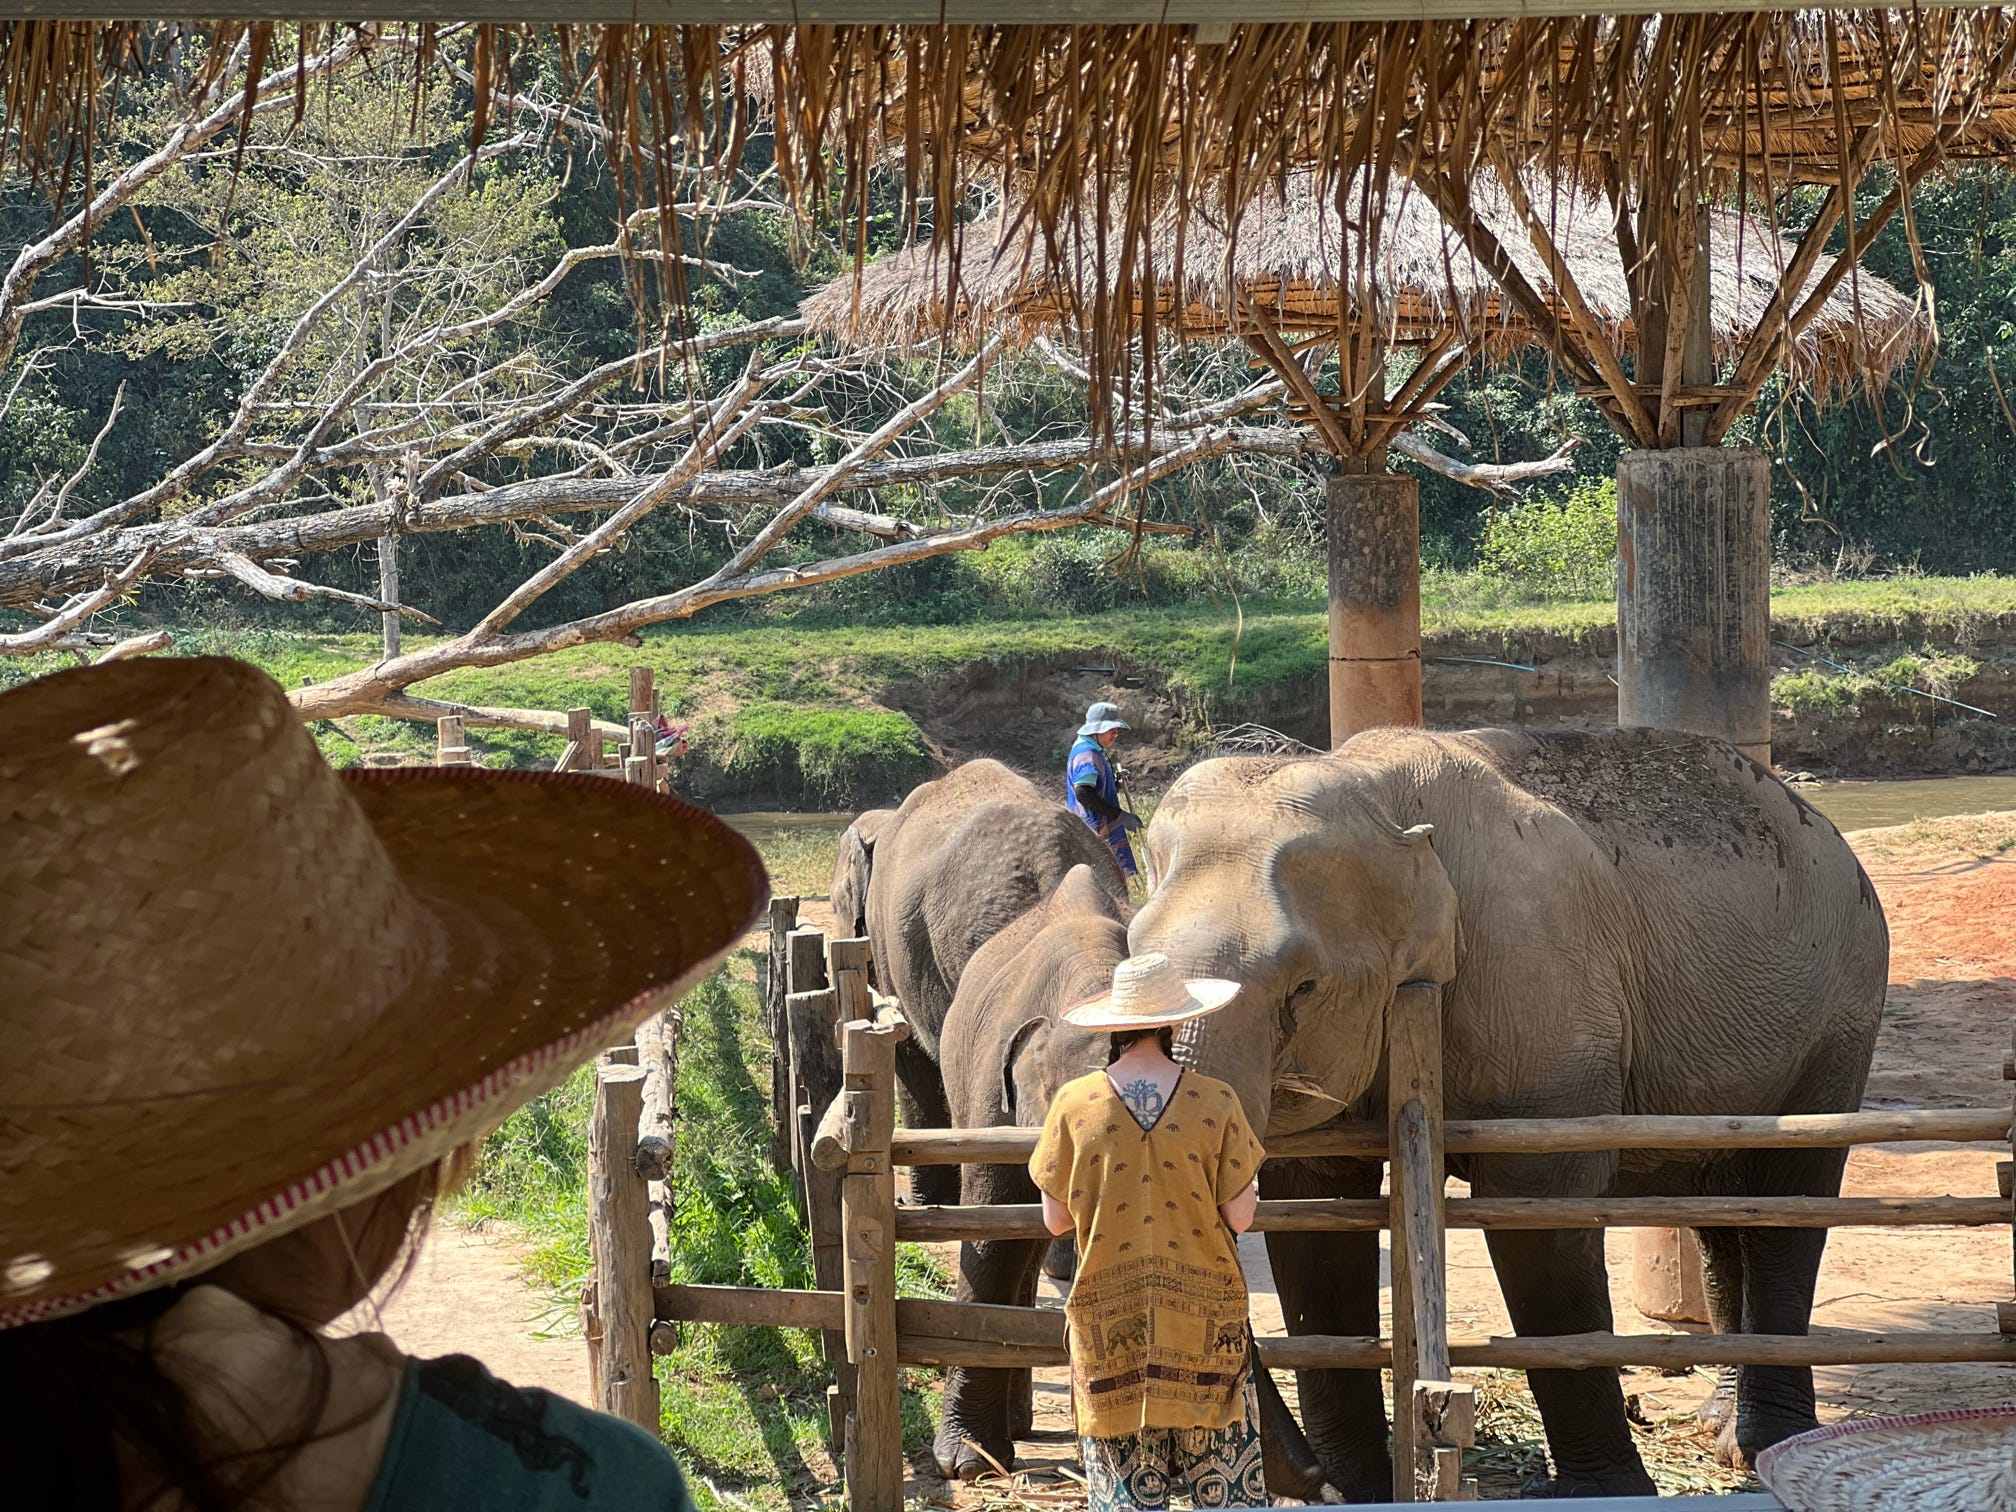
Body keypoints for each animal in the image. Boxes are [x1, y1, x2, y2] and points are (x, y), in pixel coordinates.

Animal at [1129, 726, 1889, 1499]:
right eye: (1131, 955)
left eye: (1303, 987)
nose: (1311, 1481)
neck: (1378, 795)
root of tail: (1814, 816)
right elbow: (1318, 1219)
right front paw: (1354, 1490)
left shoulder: (1538, 987)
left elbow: (1540, 1214)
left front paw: (1606, 1494)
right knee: (1719, 1207)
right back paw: (1720, 1428)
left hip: (1841, 1016)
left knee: (1787, 1199)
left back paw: (1762, 1445)